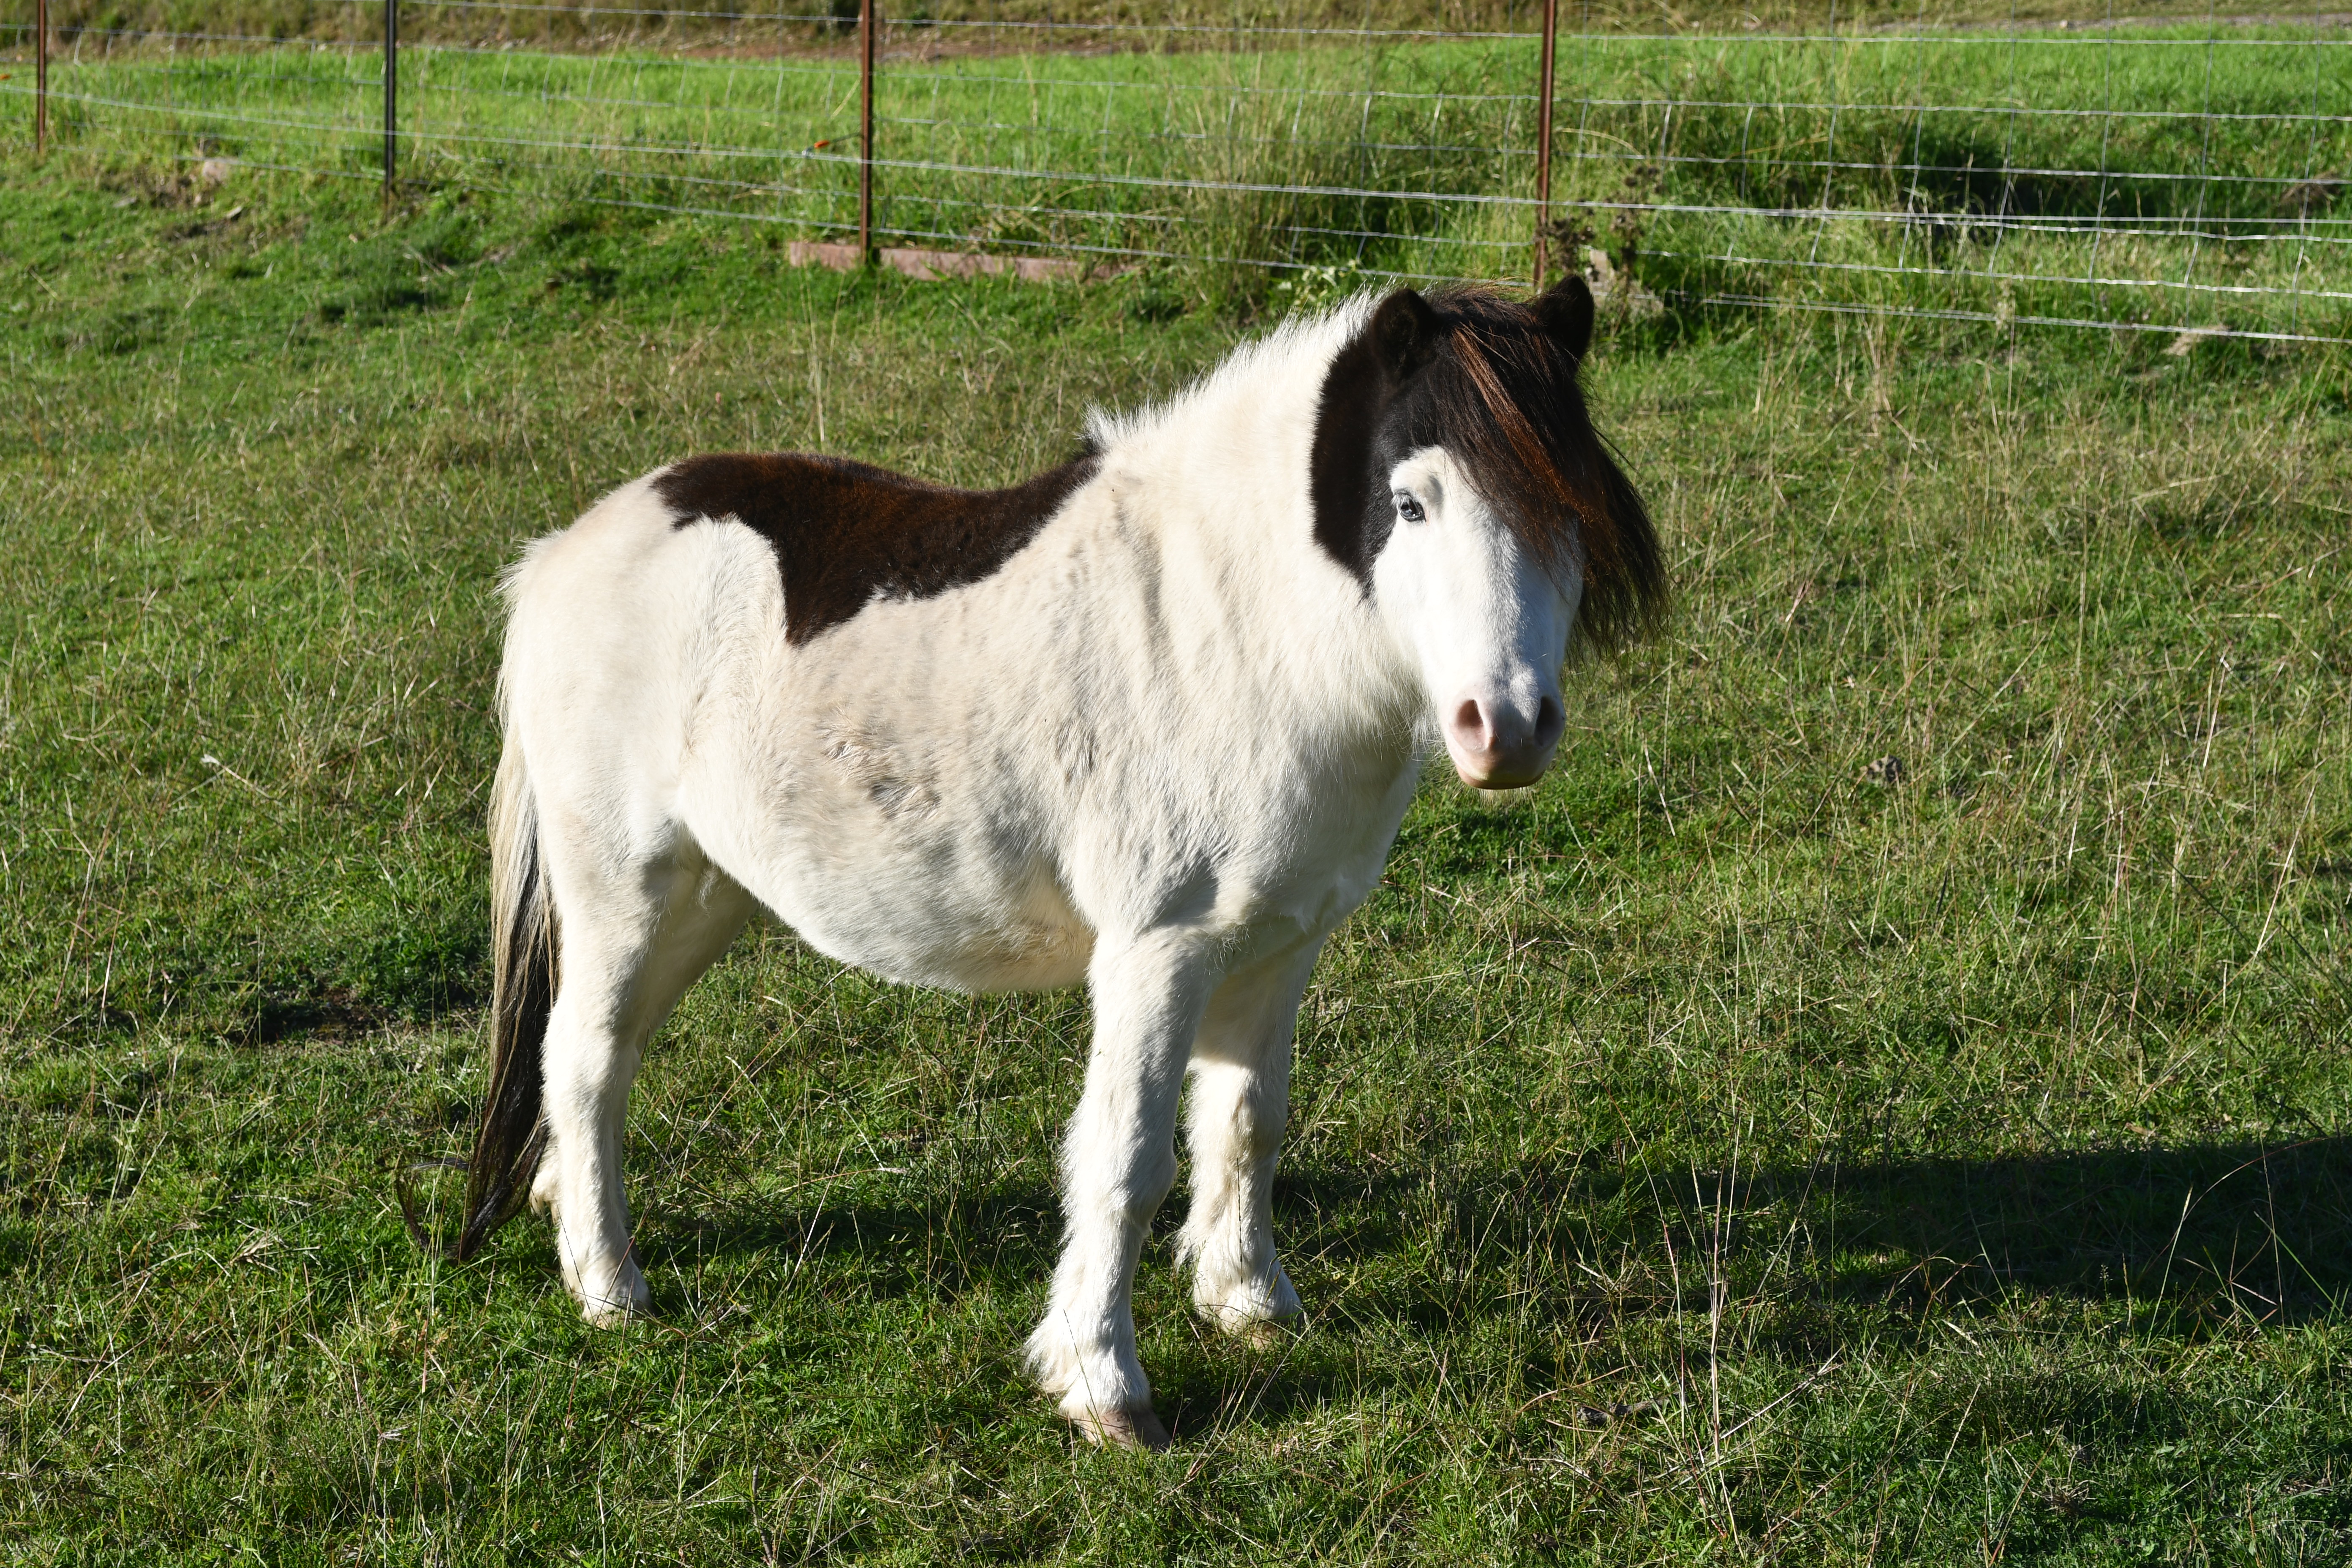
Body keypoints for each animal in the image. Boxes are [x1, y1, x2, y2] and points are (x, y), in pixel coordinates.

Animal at [421, 275, 1664, 1450]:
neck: (1236, 630)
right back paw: (610, 1288)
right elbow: (1126, 1159)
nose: (1506, 728)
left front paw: (1251, 1305)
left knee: (600, 1058)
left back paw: (565, 1216)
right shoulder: (1158, 954)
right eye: (1411, 501)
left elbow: (1249, 1124)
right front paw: (1103, 1386)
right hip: (622, 888)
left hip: (705, 897)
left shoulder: (1278, 948)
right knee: (584, 1059)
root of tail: (564, 553)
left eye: (1573, 510)